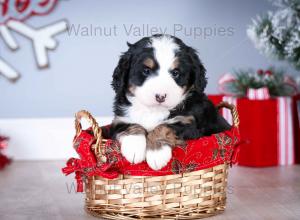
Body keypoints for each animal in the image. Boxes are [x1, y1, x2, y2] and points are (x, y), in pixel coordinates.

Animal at [108, 35, 230, 171]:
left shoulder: (188, 123)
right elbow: (132, 126)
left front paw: (156, 154)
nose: (160, 96)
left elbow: (163, 126)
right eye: (146, 70)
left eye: (176, 73)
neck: (153, 110)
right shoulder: (120, 120)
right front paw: (134, 148)